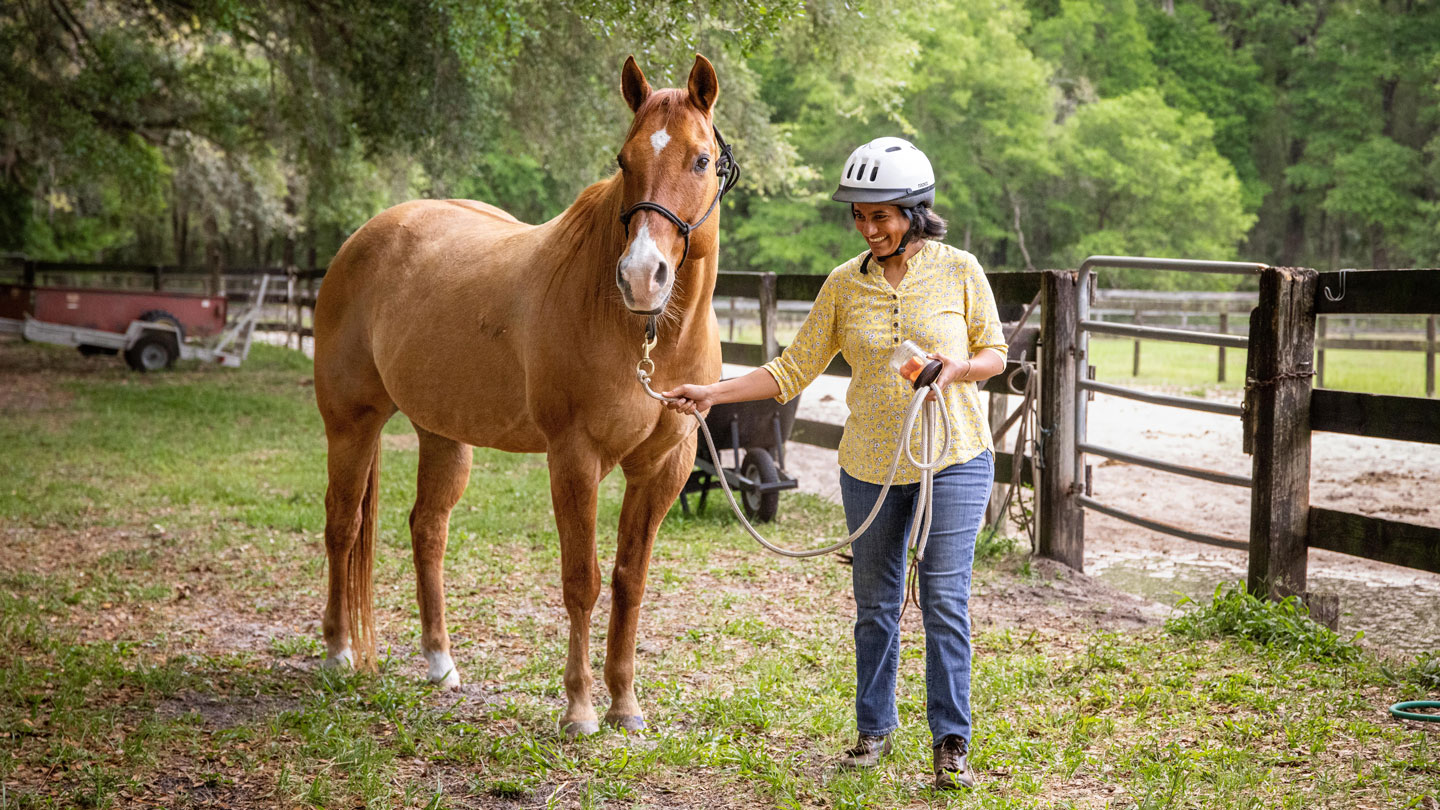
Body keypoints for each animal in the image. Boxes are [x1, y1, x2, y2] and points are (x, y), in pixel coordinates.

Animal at [313, 51, 737, 732]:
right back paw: (337, 653)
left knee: (427, 530)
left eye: (700, 160)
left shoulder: (662, 468)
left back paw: (440, 664)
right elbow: (581, 581)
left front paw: (626, 704)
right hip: (351, 424)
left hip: (443, 434)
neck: (643, 334)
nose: (640, 277)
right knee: (342, 526)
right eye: (624, 160)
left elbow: (630, 580)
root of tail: (366, 237)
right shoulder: (575, 458)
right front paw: (581, 708)